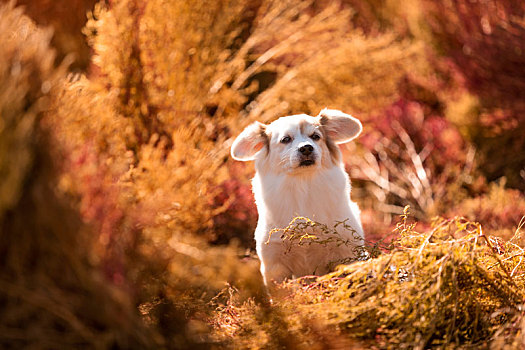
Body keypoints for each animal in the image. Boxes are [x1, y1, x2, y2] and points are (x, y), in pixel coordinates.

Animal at [232, 109, 364, 288]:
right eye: (286, 139)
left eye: (315, 136)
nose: (306, 148)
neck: (302, 187)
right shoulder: (275, 266)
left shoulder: (346, 255)